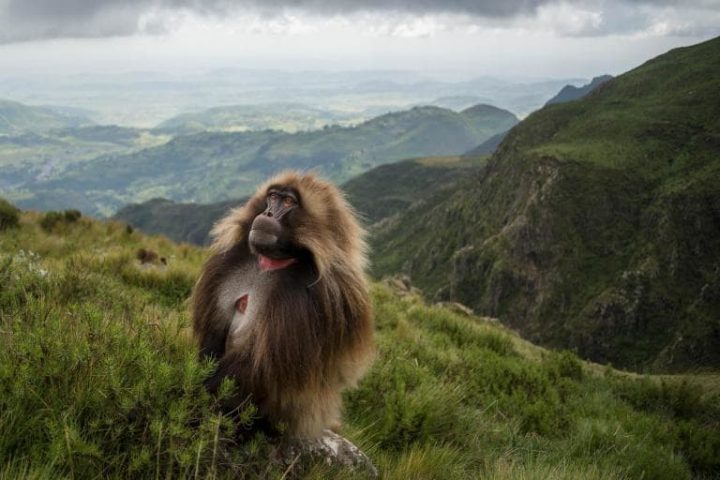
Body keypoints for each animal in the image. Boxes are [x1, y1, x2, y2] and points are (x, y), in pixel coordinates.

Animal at [192, 171, 374, 438]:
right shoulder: (229, 263)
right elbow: (214, 334)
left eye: (288, 202)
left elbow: (260, 367)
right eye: (272, 197)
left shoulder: (308, 296)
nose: (267, 214)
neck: (273, 262)